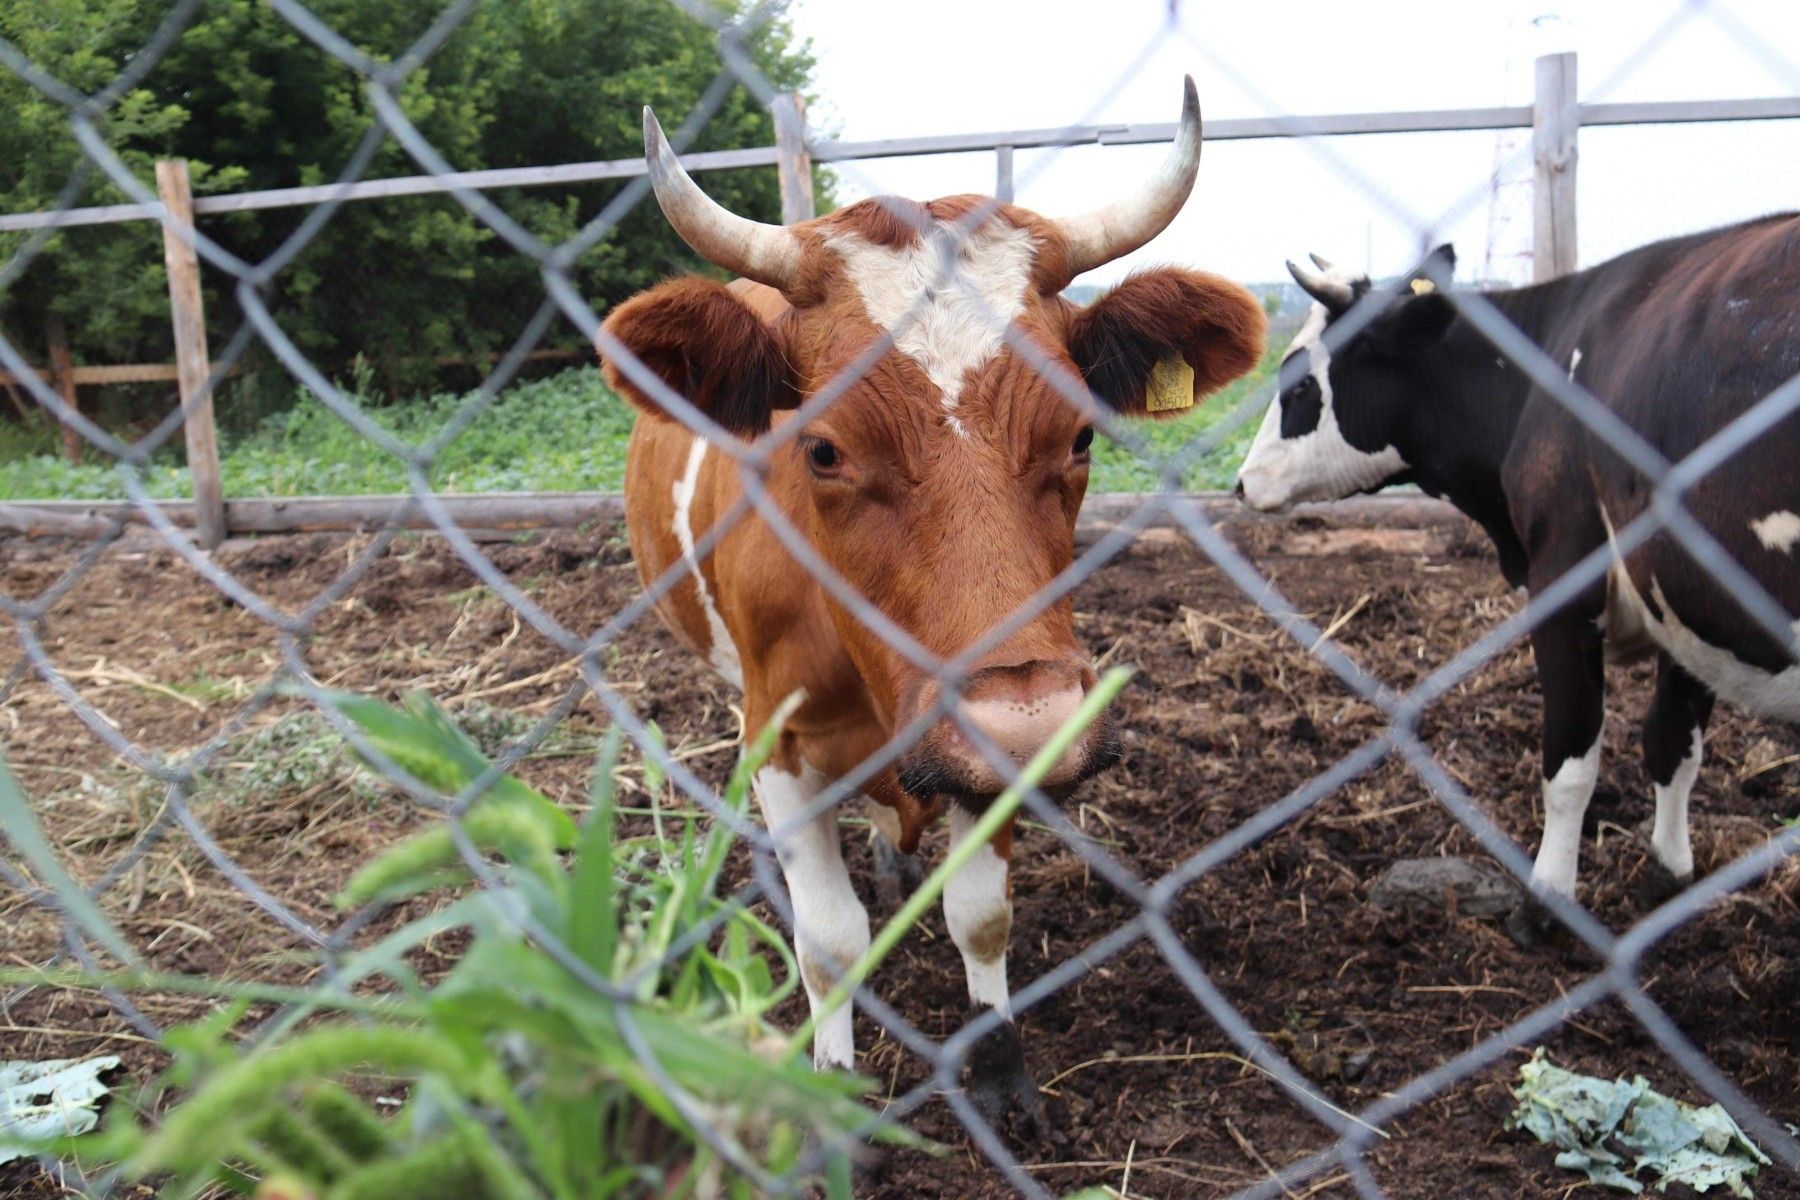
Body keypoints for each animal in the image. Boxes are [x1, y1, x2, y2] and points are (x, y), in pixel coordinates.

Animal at [597, 82, 1260, 1129]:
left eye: (1080, 434)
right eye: (822, 448)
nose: (1030, 722)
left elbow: (979, 917)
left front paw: (997, 1064)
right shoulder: (778, 736)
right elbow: (829, 939)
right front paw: (829, 1086)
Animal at [1238, 218, 1800, 949]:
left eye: (1300, 388)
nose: (1241, 482)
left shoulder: (1566, 589)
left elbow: (1570, 763)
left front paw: (1546, 904)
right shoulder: (1687, 601)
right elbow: (1673, 744)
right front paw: (1668, 878)